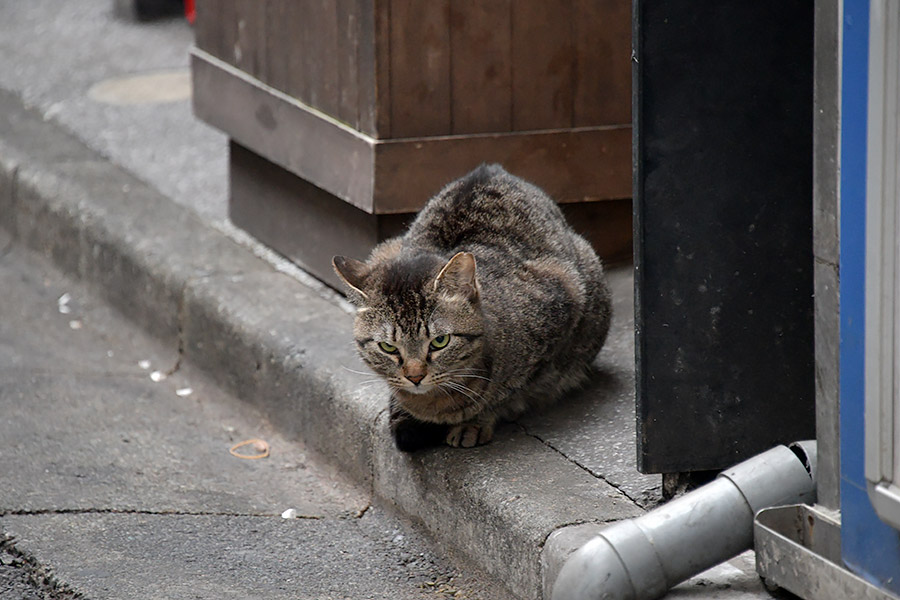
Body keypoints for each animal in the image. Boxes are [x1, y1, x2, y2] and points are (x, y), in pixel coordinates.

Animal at [334, 164, 616, 450]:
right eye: (388, 347)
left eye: (440, 341)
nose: (415, 377)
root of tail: (493, 168)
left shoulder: (562, 299)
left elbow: (505, 393)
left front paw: (476, 420)